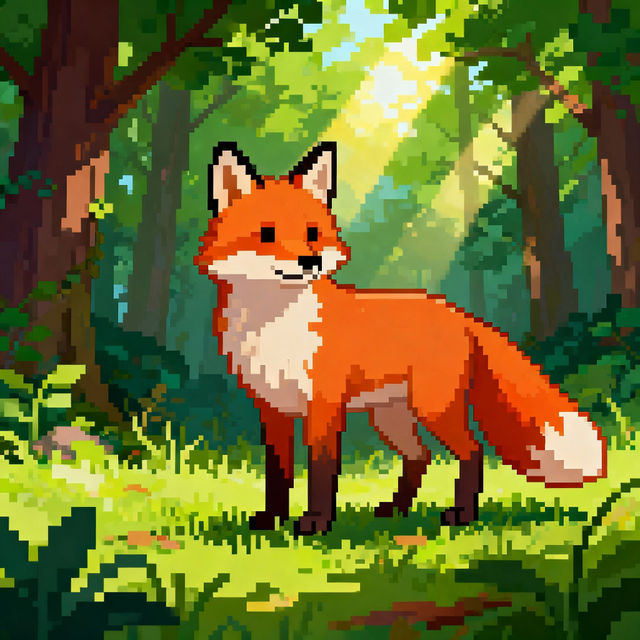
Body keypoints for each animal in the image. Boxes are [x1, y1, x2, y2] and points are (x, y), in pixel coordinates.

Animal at [195, 141, 607, 535]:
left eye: (313, 234)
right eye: (267, 235)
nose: (309, 262)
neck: (274, 323)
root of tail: (457, 313)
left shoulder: (324, 406)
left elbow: (321, 469)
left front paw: (316, 524)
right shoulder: (272, 409)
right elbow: (277, 473)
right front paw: (271, 521)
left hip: (433, 408)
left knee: (472, 451)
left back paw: (461, 515)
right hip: (390, 416)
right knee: (420, 456)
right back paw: (396, 511)